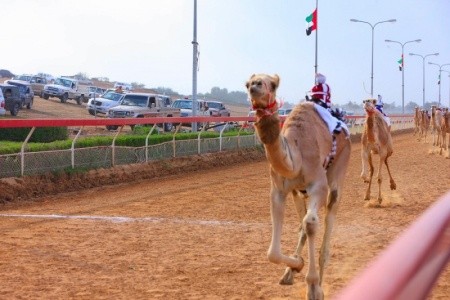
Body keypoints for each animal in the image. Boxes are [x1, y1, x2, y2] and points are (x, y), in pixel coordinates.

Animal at [246, 73, 352, 300]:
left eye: (273, 84)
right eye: (247, 83)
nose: (255, 86)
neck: (296, 155)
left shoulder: (318, 185)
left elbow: (311, 225)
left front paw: (313, 287)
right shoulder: (279, 190)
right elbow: (273, 252)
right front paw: (296, 265)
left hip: (341, 165)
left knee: (329, 211)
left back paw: (320, 279)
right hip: (298, 192)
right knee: (302, 223)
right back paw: (290, 272)